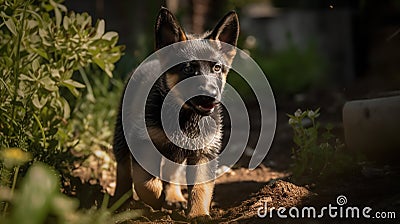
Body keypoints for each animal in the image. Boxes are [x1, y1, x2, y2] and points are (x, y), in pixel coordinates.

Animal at [111, 7, 239, 220]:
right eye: (187, 68)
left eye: (216, 68)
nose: (210, 96)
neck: (186, 117)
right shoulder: (142, 142)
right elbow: (146, 182)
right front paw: (155, 200)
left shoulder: (204, 153)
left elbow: (201, 187)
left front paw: (198, 214)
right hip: (121, 138)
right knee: (123, 171)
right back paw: (120, 202)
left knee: (172, 173)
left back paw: (174, 197)